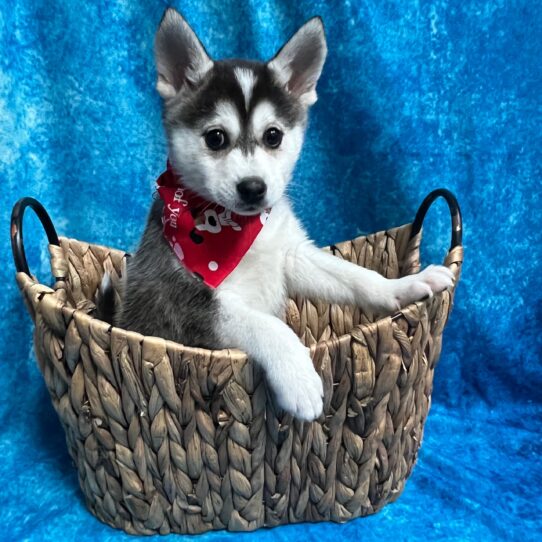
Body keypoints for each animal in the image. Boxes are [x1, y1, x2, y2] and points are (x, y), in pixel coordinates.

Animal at [102, 8, 454, 422]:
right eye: (215, 138)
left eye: (273, 136)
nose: (253, 188)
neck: (234, 229)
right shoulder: (180, 302)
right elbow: (265, 323)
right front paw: (299, 377)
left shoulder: (291, 255)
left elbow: (357, 277)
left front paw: (403, 286)